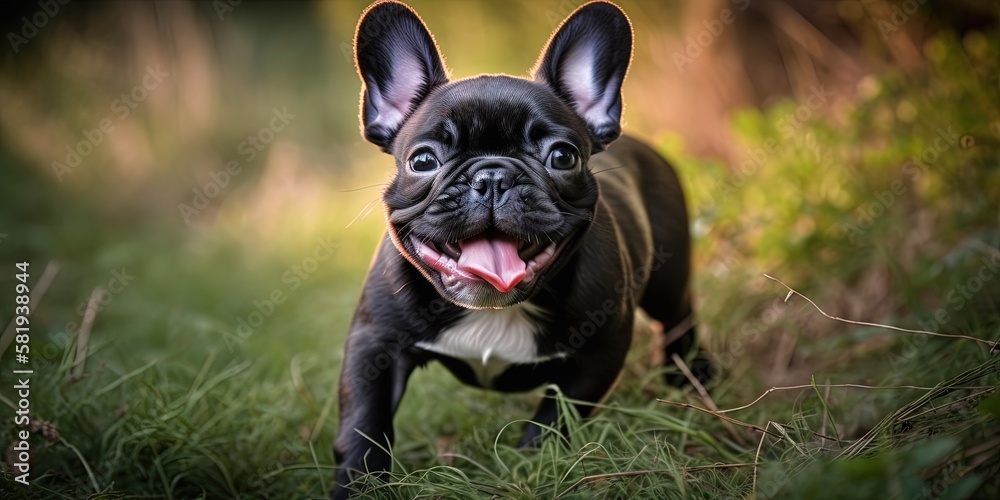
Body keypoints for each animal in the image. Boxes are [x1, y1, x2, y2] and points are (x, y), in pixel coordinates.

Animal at [334, 1, 704, 498]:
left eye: (563, 157)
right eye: (423, 160)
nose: (492, 176)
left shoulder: (600, 352)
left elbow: (555, 418)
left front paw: (531, 466)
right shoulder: (374, 343)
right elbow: (364, 426)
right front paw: (358, 484)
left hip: (668, 278)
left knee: (678, 315)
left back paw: (694, 379)